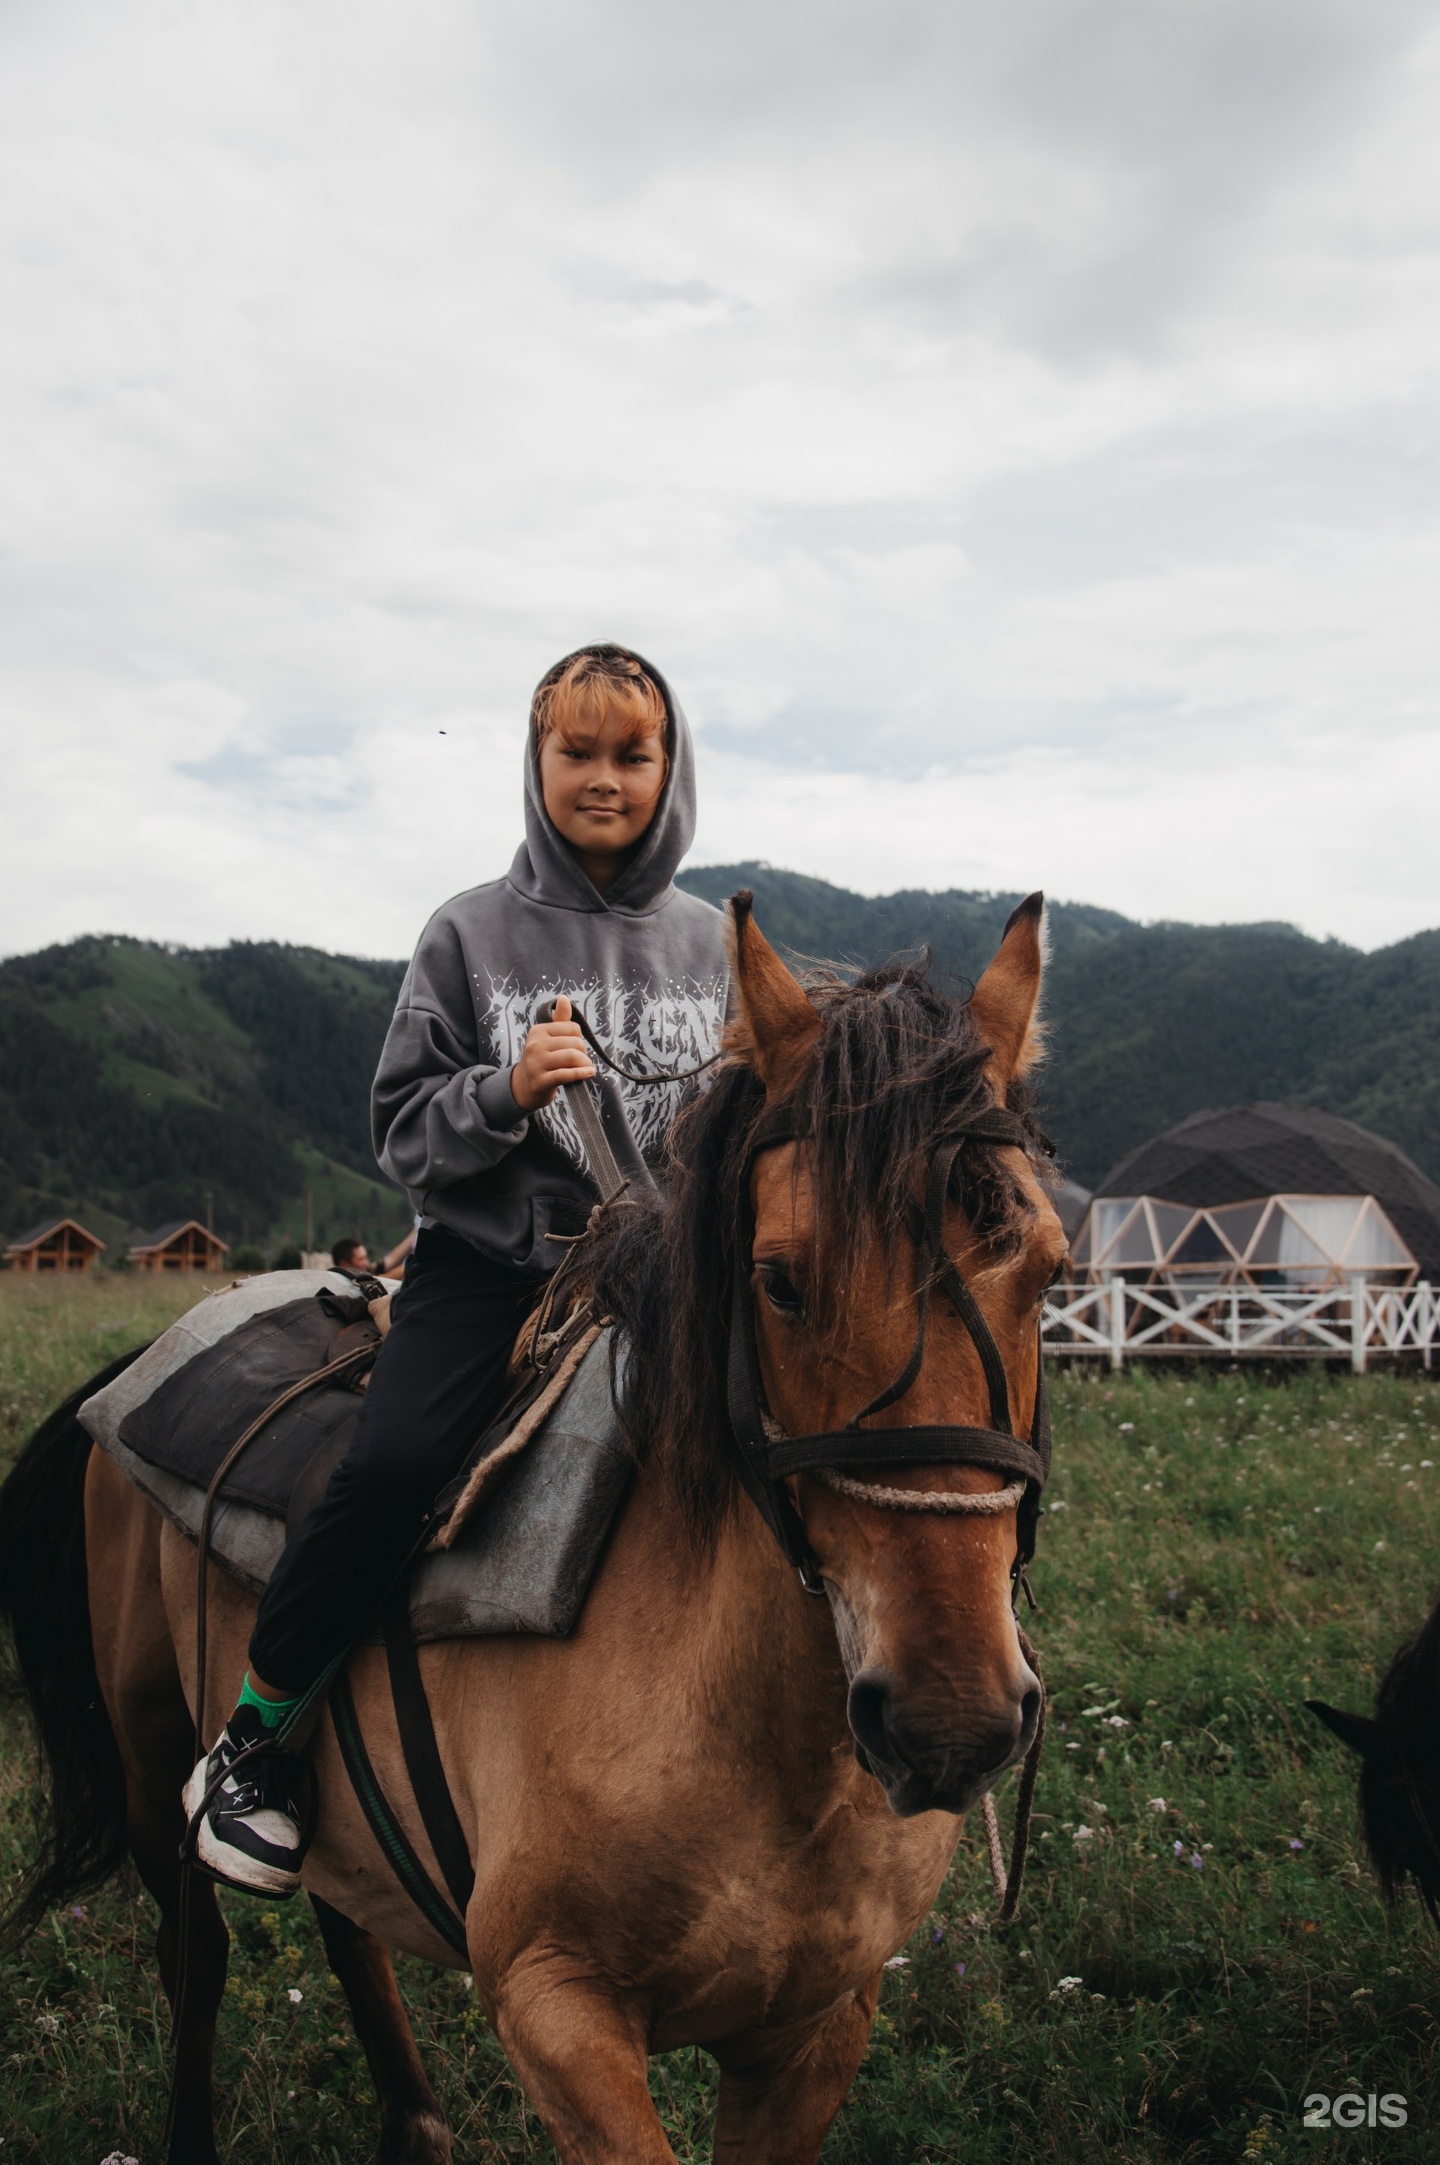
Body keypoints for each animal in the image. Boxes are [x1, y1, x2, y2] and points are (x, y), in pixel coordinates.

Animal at [0, 887, 1056, 2156]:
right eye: (779, 1278)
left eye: (1051, 1274)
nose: (948, 1720)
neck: (761, 1741)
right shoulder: (556, 2007)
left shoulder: (815, 2028)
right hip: (153, 1747)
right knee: (194, 1952)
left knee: (346, 1918)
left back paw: (416, 2118)